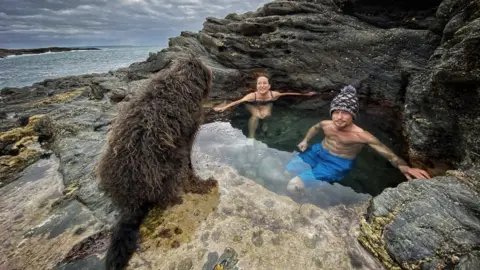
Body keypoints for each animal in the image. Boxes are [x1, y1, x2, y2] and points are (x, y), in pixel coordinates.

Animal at [96, 53, 217, 268]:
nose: (212, 72)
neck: (179, 82)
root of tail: (134, 200)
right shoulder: (187, 138)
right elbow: (190, 167)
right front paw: (199, 181)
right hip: (174, 163)